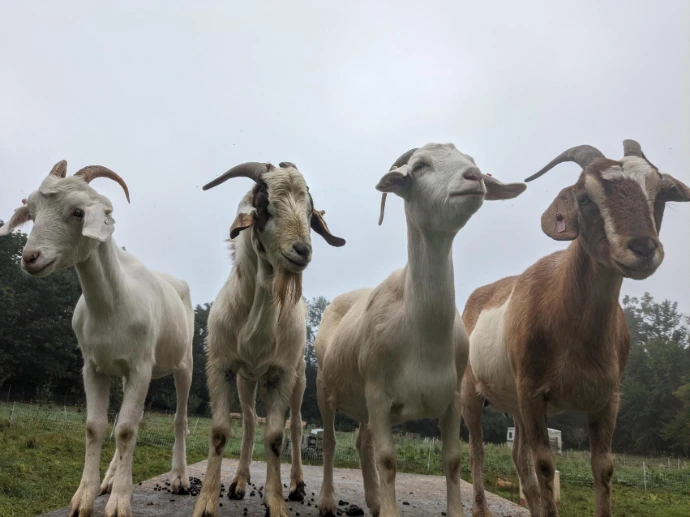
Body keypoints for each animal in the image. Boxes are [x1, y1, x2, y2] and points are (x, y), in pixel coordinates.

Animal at [0, 161, 194, 517]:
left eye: (78, 212)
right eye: (32, 212)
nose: (30, 257)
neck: (113, 304)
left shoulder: (141, 366)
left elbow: (127, 430)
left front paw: (119, 502)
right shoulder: (94, 367)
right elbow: (98, 426)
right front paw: (84, 498)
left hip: (183, 362)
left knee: (178, 419)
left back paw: (178, 477)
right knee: (133, 419)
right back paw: (110, 478)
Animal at [192, 162, 345, 517]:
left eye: (309, 213)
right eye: (266, 207)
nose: (302, 251)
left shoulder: (282, 373)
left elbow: (276, 436)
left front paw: (275, 502)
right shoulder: (221, 366)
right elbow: (221, 431)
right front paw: (206, 501)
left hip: (299, 378)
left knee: (296, 424)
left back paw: (297, 485)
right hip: (247, 380)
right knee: (249, 421)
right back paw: (238, 482)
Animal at [314, 144, 526, 517]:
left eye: (473, 163)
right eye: (419, 167)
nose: (473, 177)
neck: (421, 335)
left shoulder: (451, 399)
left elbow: (453, 460)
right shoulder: (378, 395)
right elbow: (387, 460)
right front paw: (388, 510)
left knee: (361, 440)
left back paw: (373, 500)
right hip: (324, 388)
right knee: (329, 441)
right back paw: (327, 500)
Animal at [461, 140, 690, 517]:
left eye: (660, 193)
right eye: (585, 198)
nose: (643, 248)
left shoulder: (607, 399)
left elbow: (604, 468)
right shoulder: (532, 392)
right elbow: (545, 466)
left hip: (515, 404)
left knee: (518, 458)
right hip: (472, 390)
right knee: (477, 450)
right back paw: (480, 508)